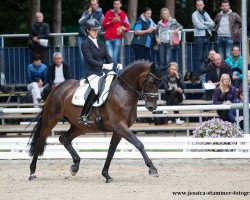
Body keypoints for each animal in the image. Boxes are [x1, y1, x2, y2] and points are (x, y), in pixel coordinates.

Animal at [28, 61, 163, 183]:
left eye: (160, 83)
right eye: (150, 82)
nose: (152, 107)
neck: (123, 91)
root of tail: (57, 88)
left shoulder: (119, 130)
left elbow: (111, 150)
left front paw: (106, 174)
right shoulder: (120, 126)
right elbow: (139, 144)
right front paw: (152, 168)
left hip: (79, 127)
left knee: (64, 138)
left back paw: (75, 166)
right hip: (50, 120)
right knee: (40, 141)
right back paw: (32, 172)